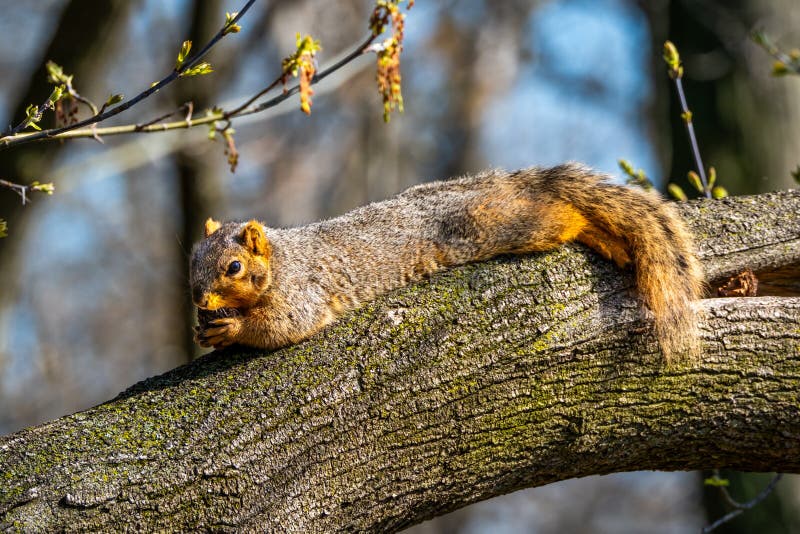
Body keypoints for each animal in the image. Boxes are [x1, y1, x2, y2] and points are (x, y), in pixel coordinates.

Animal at [191, 165, 704, 362]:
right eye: (191, 260)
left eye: (234, 267)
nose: (198, 299)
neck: (280, 261)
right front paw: (206, 329)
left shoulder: (302, 289)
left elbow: (287, 324)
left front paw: (233, 328)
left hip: (503, 224)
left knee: (564, 215)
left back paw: (598, 234)